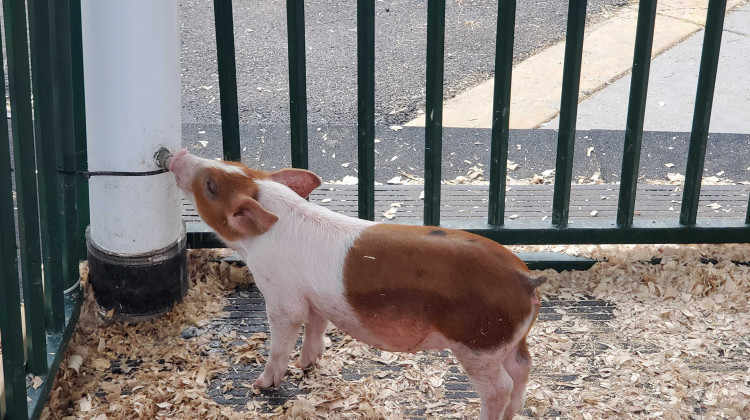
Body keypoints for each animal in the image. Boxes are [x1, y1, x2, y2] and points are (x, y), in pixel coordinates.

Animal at [169, 149, 548, 418]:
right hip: (507, 341)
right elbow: (316, 326)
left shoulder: (281, 295)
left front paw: (261, 384)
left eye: (211, 185)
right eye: (229, 162)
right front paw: (307, 364)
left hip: (478, 345)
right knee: (523, 368)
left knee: (499, 387)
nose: (177, 155)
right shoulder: (315, 298)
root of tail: (525, 279)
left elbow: (283, 337)